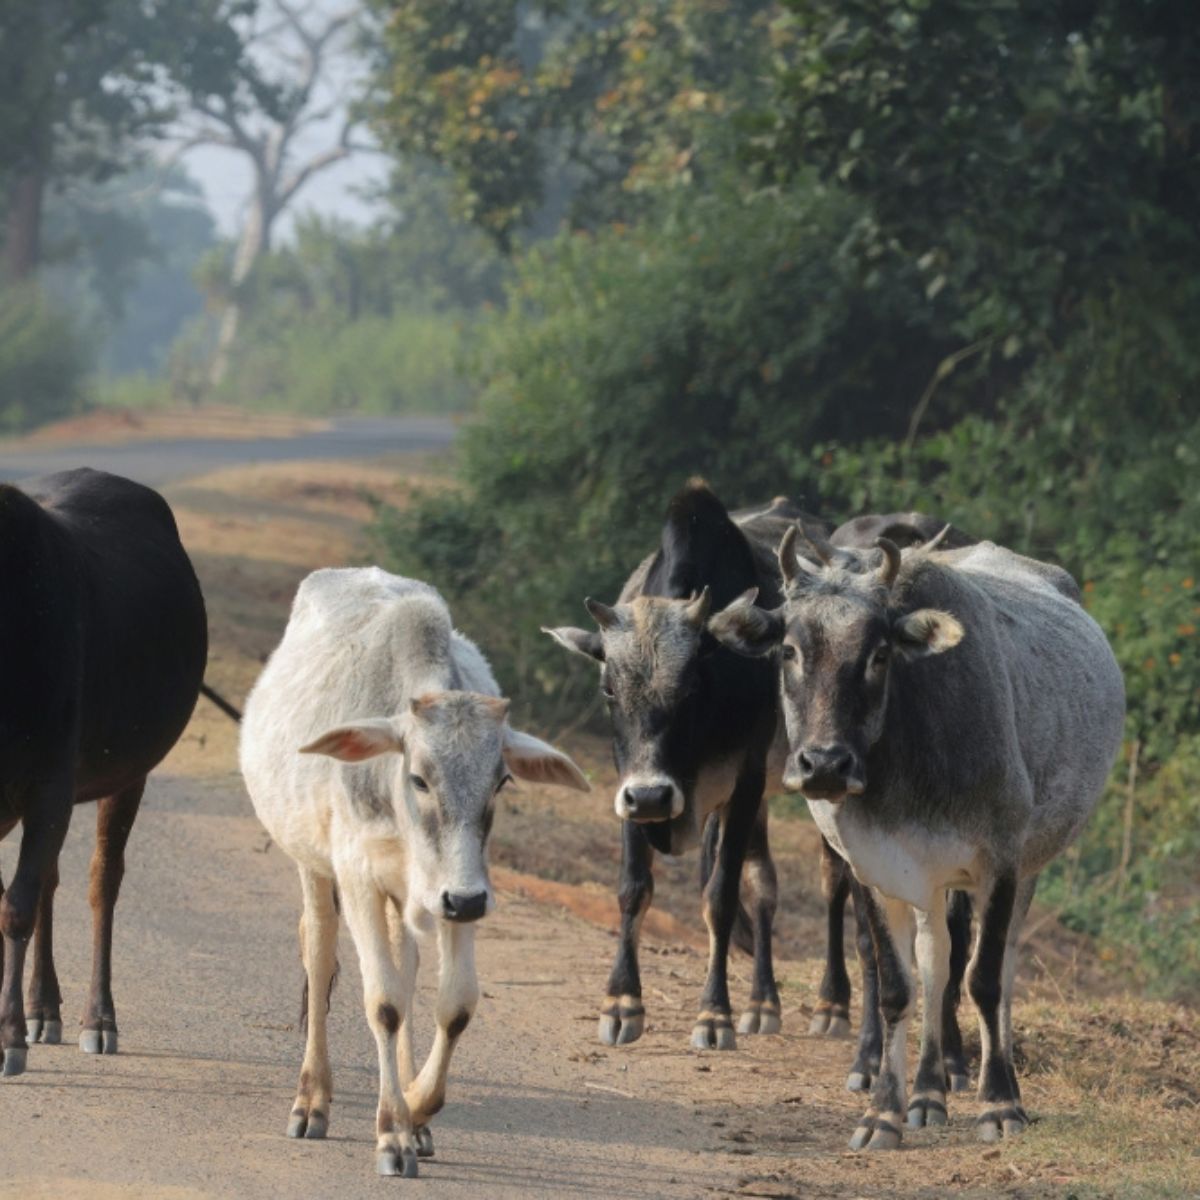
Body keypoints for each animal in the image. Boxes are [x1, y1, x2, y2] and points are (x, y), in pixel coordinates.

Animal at [0, 467, 207, 1077]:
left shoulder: (50, 785)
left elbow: (15, 907)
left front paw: (10, 1037)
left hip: (126, 776)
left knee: (100, 883)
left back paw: (96, 1019)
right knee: (51, 881)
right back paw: (44, 1008)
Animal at [239, 567, 589, 1177]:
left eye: (501, 781)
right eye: (420, 778)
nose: (464, 902)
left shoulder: (459, 889)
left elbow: (455, 1004)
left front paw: (418, 1106)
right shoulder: (358, 877)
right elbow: (383, 1002)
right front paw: (393, 1131)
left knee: (406, 964)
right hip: (313, 864)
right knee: (319, 952)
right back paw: (312, 1098)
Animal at [545, 479, 840, 1051]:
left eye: (692, 689)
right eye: (608, 689)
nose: (653, 797)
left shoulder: (745, 782)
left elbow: (719, 898)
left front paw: (714, 1015)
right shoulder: (630, 787)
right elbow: (634, 888)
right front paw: (621, 1003)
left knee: (836, 882)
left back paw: (833, 1005)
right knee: (765, 887)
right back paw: (763, 1004)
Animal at [708, 522, 1125, 1148]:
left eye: (879, 654)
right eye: (789, 650)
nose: (824, 764)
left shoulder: (999, 863)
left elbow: (983, 980)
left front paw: (998, 1105)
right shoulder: (876, 871)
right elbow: (900, 988)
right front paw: (883, 1112)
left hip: (1025, 869)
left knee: (999, 967)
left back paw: (995, 1083)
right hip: (928, 886)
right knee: (936, 963)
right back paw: (928, 1093)